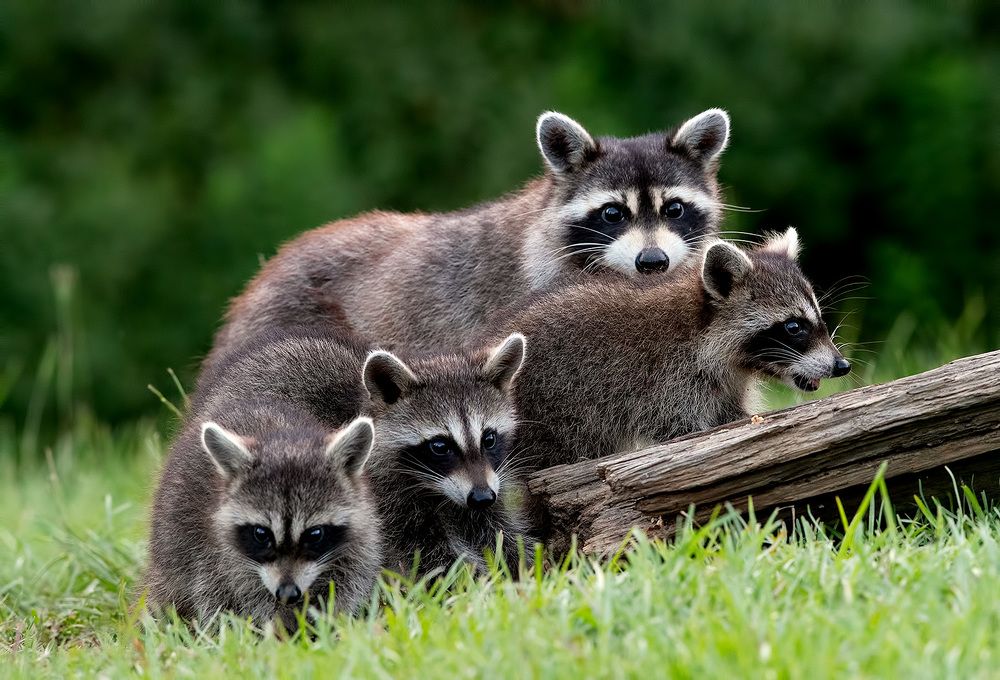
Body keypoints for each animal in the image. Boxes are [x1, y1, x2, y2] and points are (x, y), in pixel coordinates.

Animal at [145, 406, 381, 630]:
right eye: (261, 534)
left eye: (315, 534)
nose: (287, 593)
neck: (284, 439)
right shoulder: (220, 551)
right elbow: (241, 593)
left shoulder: (361, 535)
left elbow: (349, 581)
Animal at [195, 328, 532, 576]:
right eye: (439, 445)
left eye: (489, 438)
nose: (482, 497)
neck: (436, 490)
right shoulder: (384, 496)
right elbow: (423, 555)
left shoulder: (481, 483)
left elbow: (496, 532)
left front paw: (519, 570)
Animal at [492, 228, 851, 469]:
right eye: (794, 327)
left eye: (818, 319)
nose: (842, 366)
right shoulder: (667, 383)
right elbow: (681, 429)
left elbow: (730, 414)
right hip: (555, 408)